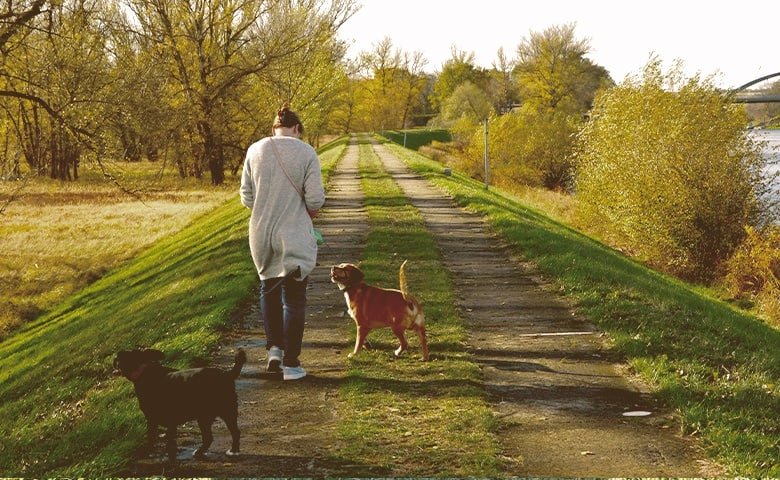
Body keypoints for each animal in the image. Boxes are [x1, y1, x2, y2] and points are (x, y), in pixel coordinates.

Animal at [112, 348, 245, 462]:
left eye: (122, 358)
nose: (116, 356)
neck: (143, 370)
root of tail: (227, 374)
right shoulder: (170, 423)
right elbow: (170, 440)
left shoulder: (152, 420)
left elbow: (154, 439)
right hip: (221, 414)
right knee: (229, 433)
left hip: (211, 415)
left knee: (218, 436)